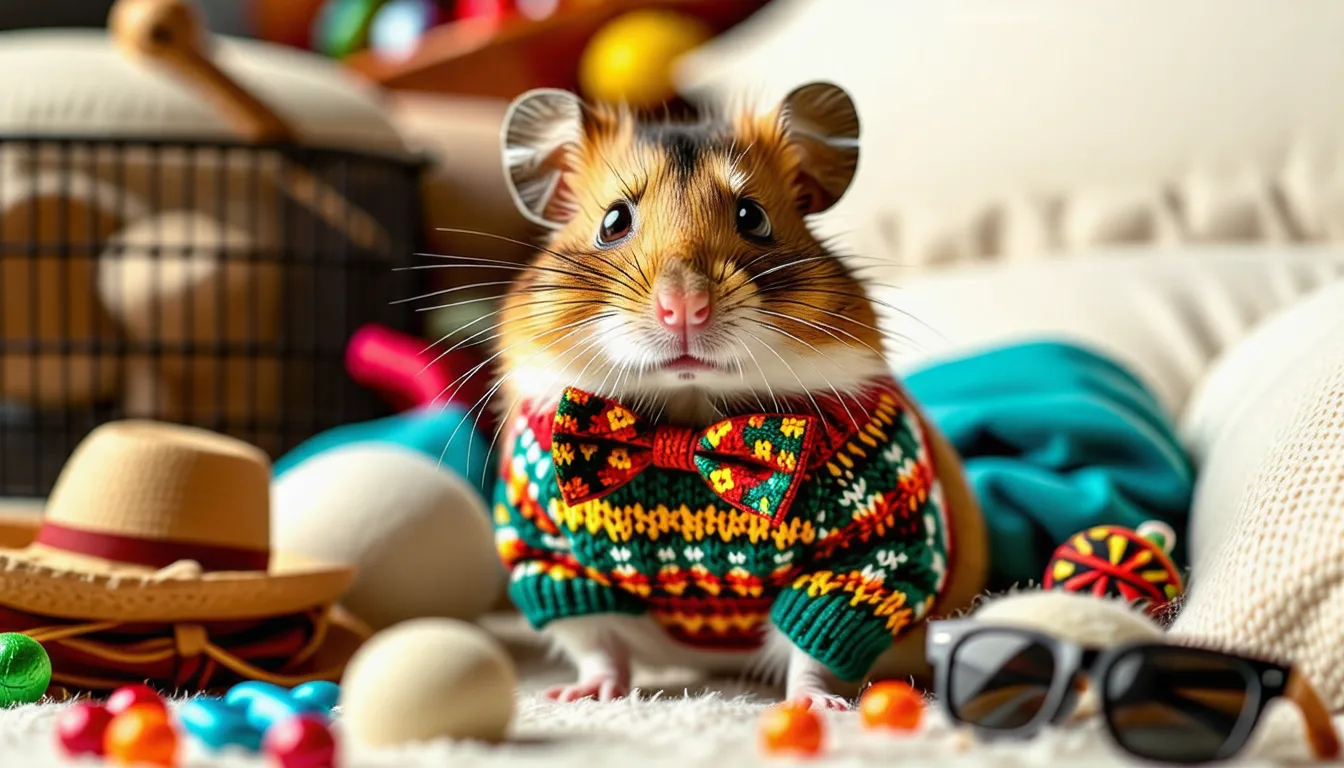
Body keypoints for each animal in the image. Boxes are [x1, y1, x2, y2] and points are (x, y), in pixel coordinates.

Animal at [487, 82, 987, 709]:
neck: (687, 414)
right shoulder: (546, 552)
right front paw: (579, 697)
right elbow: (598, 642)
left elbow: (813, 647)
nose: (683, 308)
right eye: (613, 221)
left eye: (753, 217)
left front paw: (817, 705)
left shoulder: (875, 549)